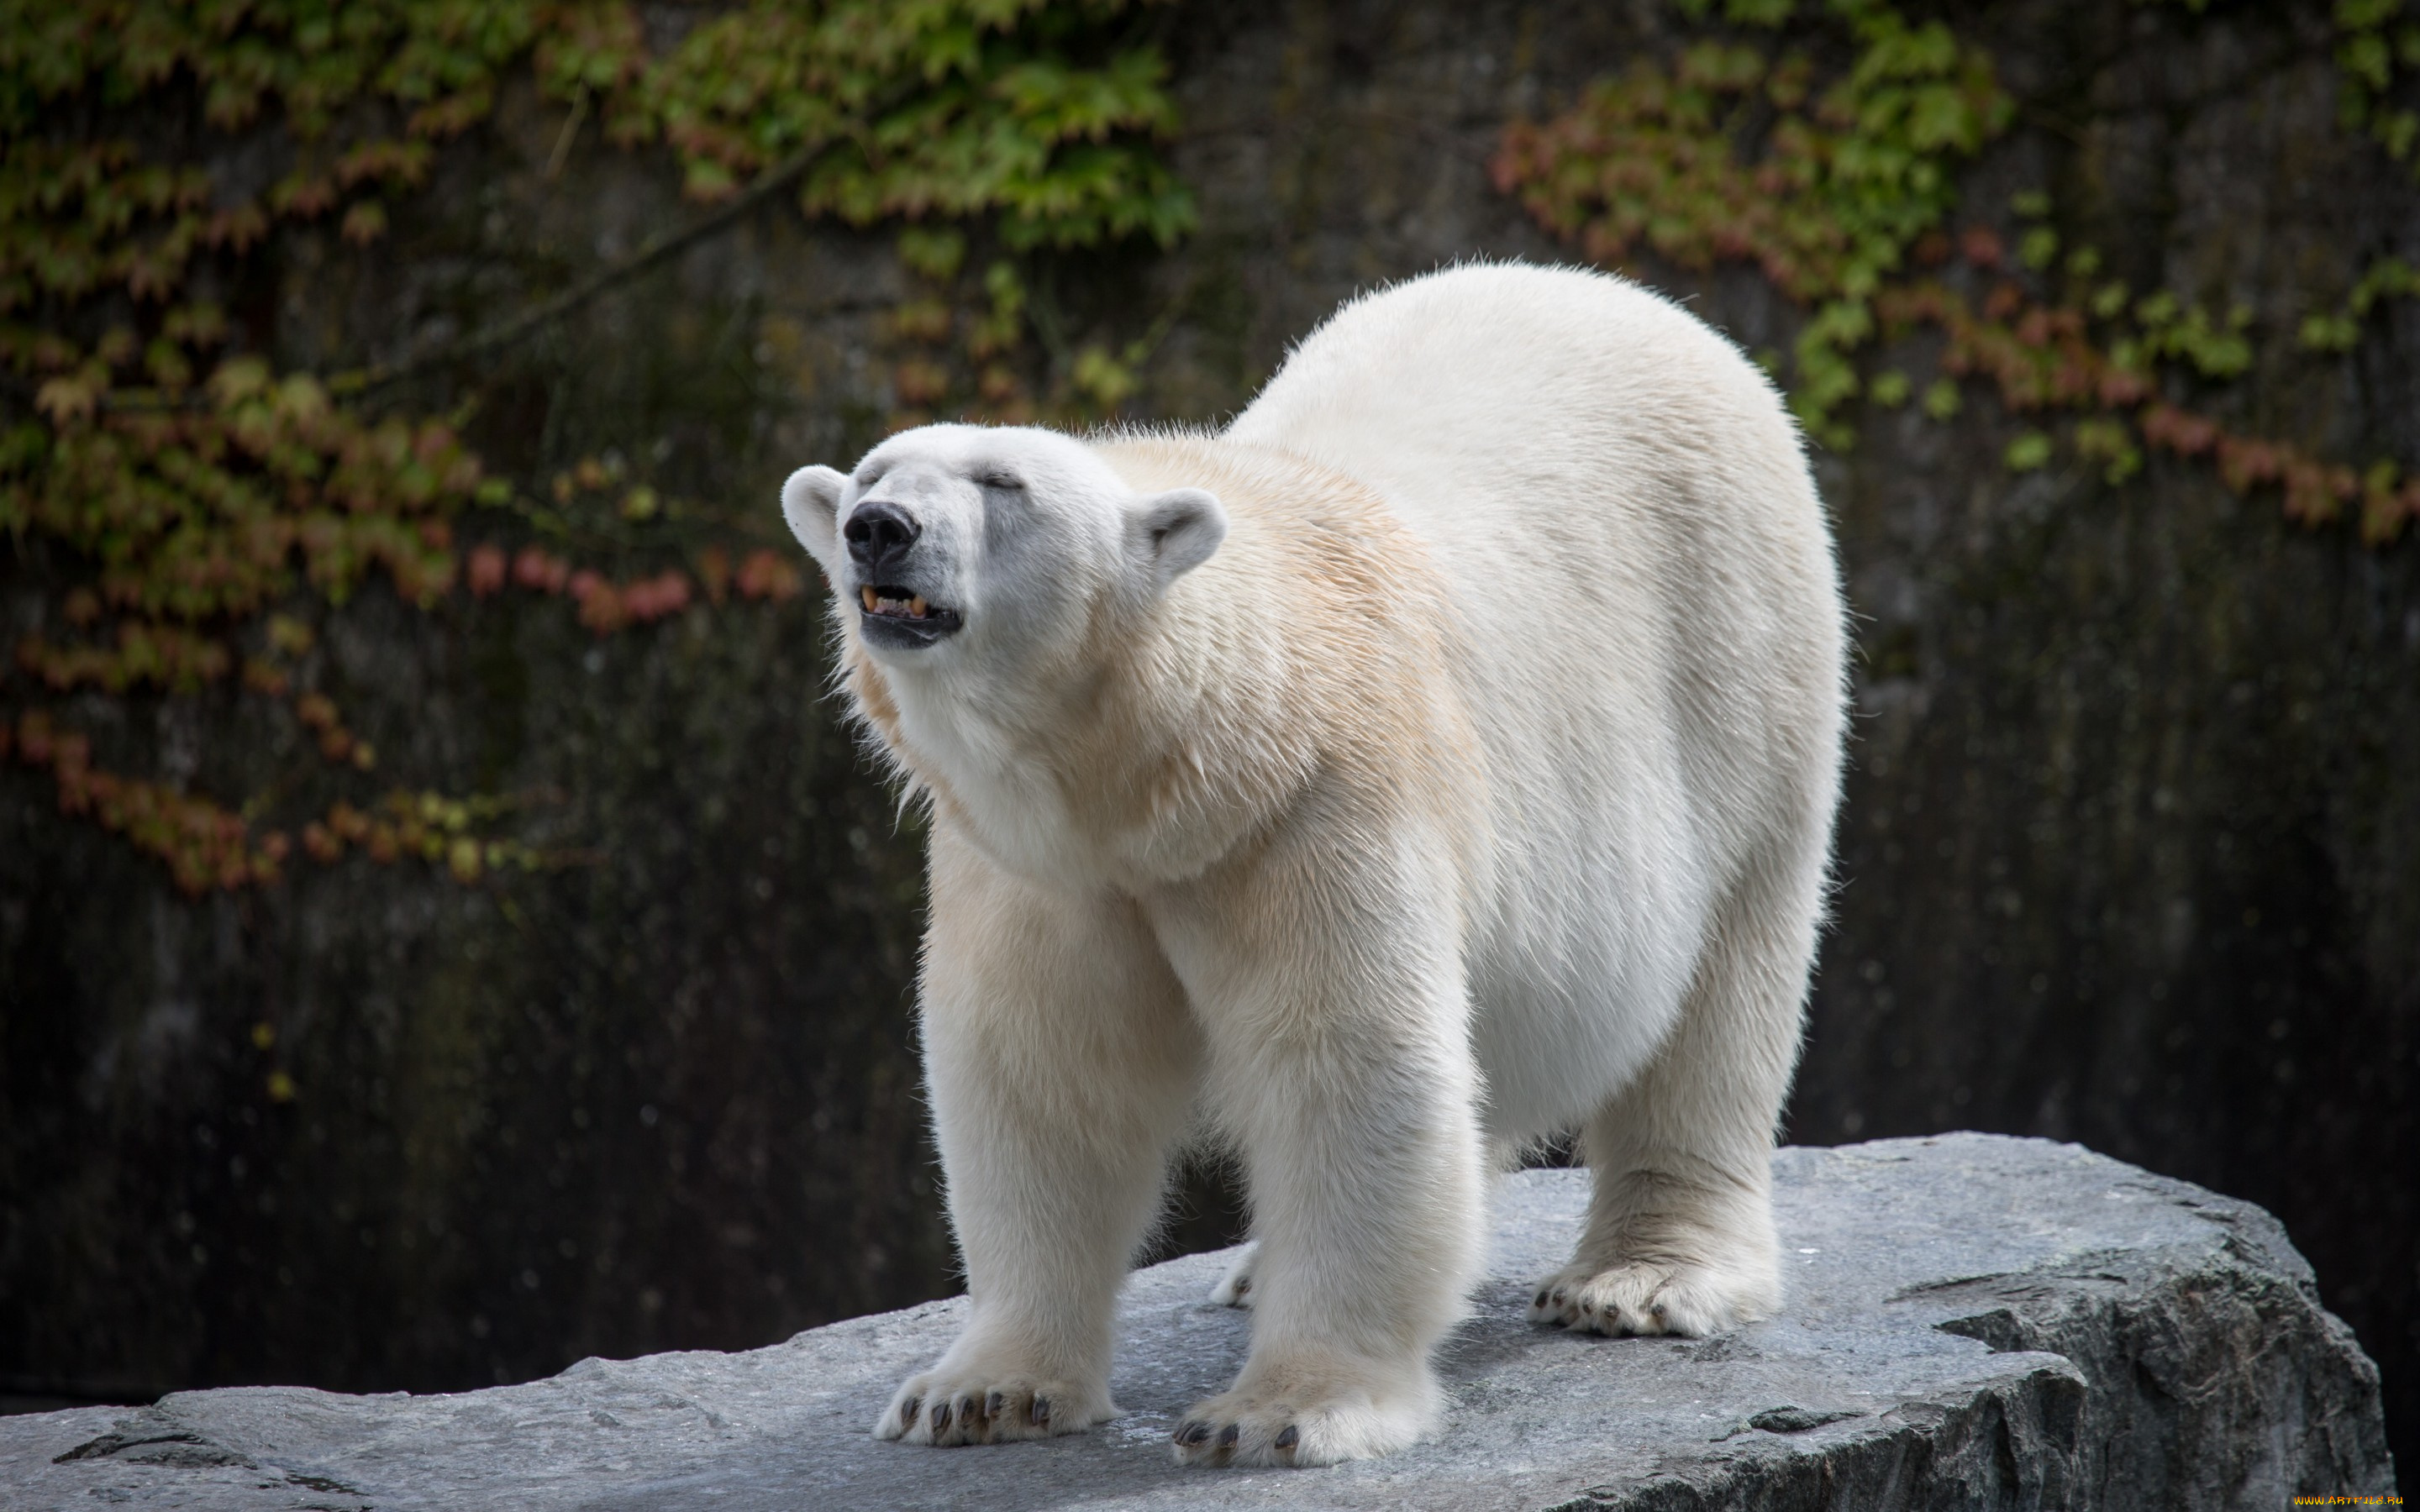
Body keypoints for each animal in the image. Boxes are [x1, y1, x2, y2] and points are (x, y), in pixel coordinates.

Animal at [784, 259, 1839, 1461]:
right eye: (871, 472)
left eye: (1004, 483)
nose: (878, 528)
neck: (1161, 777)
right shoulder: (1037, 866)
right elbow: (1041, 1076)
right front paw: (976, 1393)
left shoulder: (1309, 810)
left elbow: (1347, 1064)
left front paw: (1281, 1413)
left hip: (1740, 658)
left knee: (1725, 978)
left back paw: (1643, 1278)